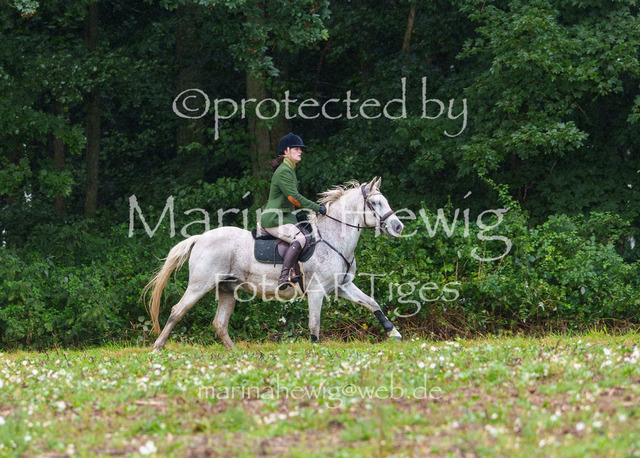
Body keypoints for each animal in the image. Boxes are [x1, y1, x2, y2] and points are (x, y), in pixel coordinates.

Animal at [145, 177, 405, 351]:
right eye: (375, 203)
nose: (398, 226)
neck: (334, 239)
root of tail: (200, 238)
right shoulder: (317, 291)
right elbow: (314, 325)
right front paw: (315, 353)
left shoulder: (342, 286)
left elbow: (372, 303)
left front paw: (394, 333)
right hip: (200, 285)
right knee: (177, 311)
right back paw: (157, 347)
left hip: (228, 289)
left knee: (219, 323)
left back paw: (237, 355)